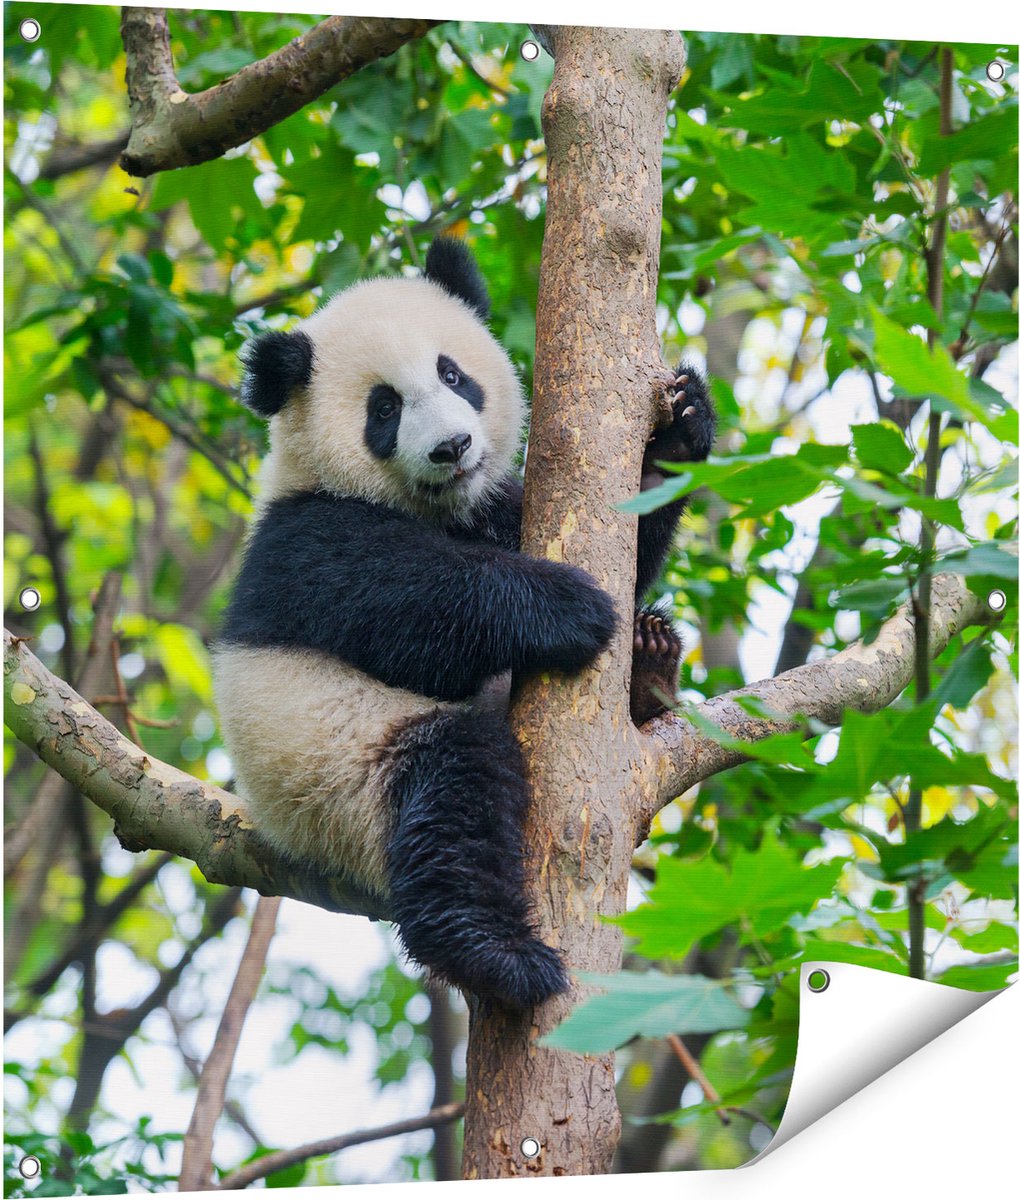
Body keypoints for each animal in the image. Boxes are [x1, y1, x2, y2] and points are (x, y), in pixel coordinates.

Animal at [213, 239, 715, 1010]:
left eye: (453, 374)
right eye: (384, 408)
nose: (452, 446)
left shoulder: (494, 508)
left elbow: (632, 537)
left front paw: (681, 428)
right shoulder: (304, 541)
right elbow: (410, 609)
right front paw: (569, 607)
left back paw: (650, 662)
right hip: (340, 778)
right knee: (453, 793)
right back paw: (497, 955)